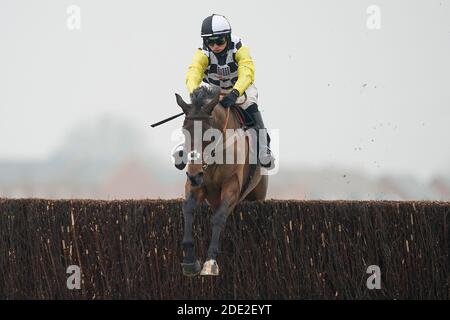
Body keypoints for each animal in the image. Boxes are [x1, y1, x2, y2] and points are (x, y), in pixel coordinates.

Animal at [175, 85, 268, 276]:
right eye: (184, 131)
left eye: (210, 135)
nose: (195, 175)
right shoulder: (196, 185)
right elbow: (187, 209)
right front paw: (190, 260)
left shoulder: (232, 186)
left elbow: (218, 218)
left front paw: (210, 262)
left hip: (257, 195)